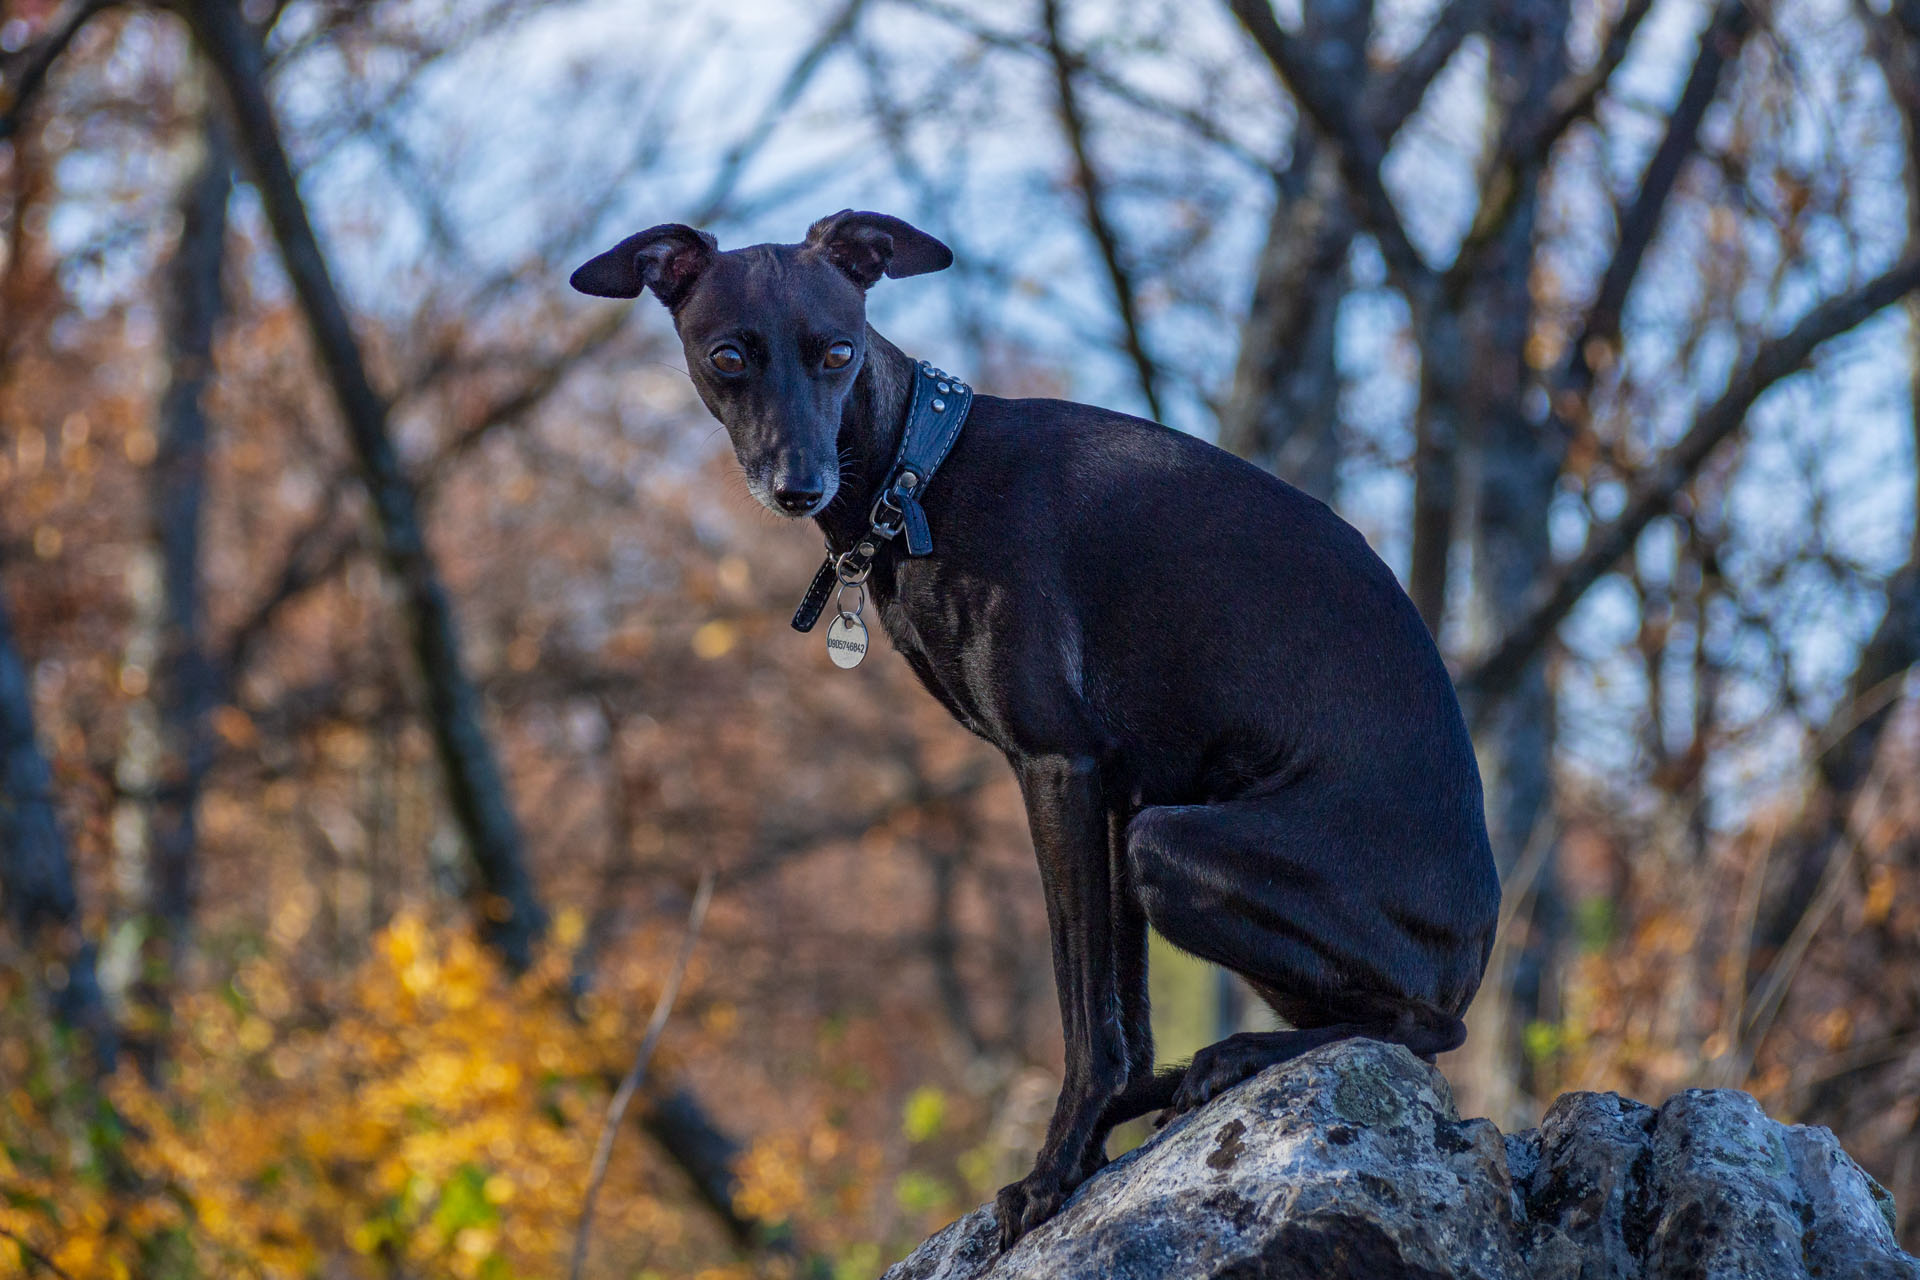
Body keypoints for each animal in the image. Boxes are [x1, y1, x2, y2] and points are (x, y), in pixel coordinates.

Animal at [568, 213, 1497, 1251]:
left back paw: (1239, 1055)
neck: (918, 470)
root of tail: (1474, 948)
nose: (798, 485)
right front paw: (1096, 1136)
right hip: (1161, 843)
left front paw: (1053, 1173)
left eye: (838, 351)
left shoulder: (1060, 769)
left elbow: (1085, 1014)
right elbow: (1122, 1015)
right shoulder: (1119, 787)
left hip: (1176, 850)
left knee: (1429, 1029)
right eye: (729, 356)